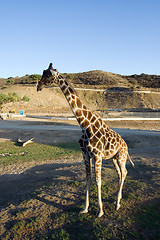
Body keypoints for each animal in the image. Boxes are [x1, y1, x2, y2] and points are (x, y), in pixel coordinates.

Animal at [37, 63, 134, 218]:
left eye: (48, 75)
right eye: (42, 72)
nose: (38, 86)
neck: (84, 125)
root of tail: (125, 144)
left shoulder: (97, 155)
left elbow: (98, 180)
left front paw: (100, 211)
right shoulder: (85, 154)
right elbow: (88, 179)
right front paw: (85, 208)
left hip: (121, 156)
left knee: (124, 172)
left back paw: (118, 204)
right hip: (113, 158)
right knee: (120, 173)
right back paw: (117, 200)